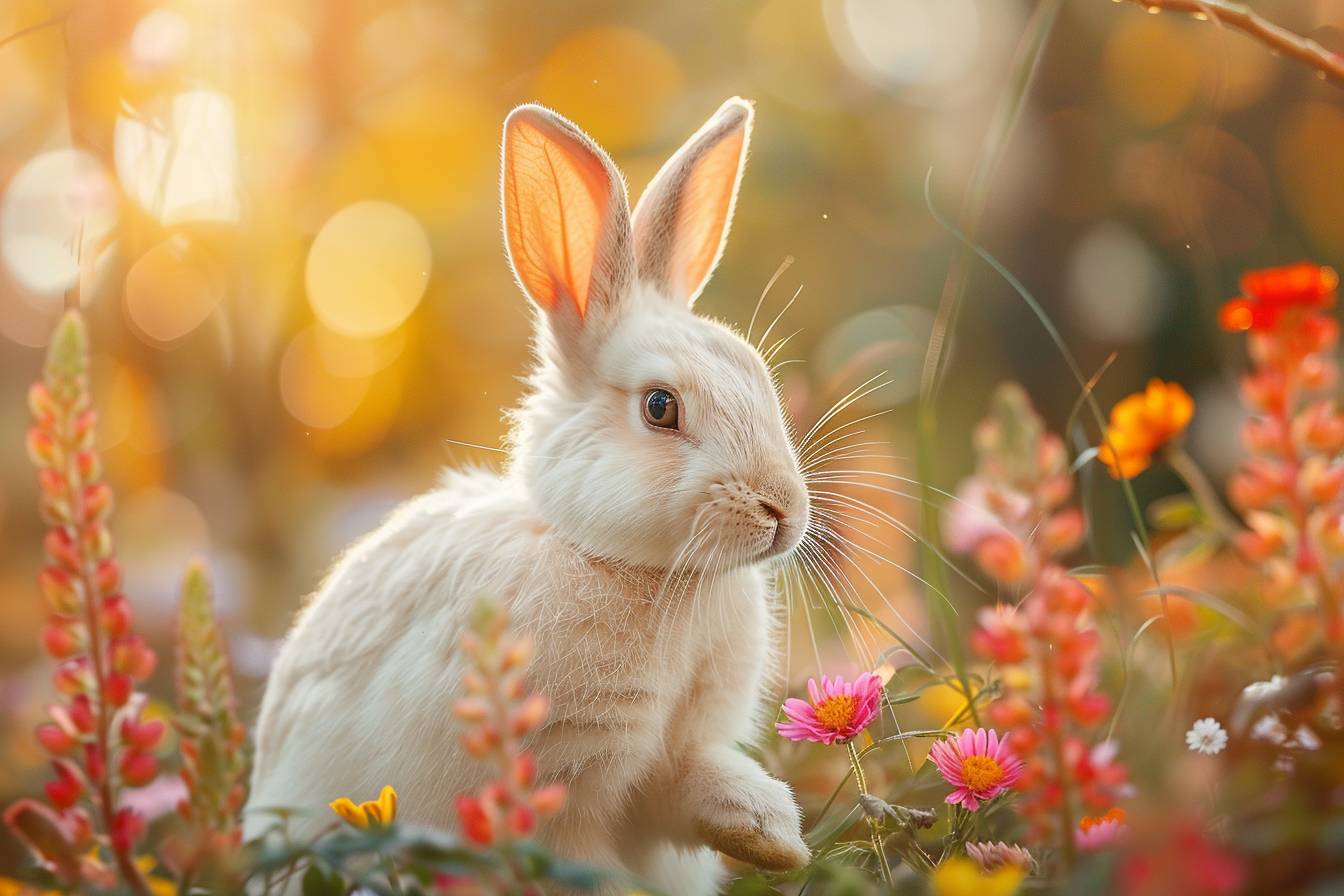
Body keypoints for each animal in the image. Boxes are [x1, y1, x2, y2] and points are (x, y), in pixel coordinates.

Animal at [244, 96, 813, 895]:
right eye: (660, 407)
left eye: (760, 377)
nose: (782, 511)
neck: (639, 570)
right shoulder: (558, 787)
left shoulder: (669, 765)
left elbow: (690, 787)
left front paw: (772, 836)